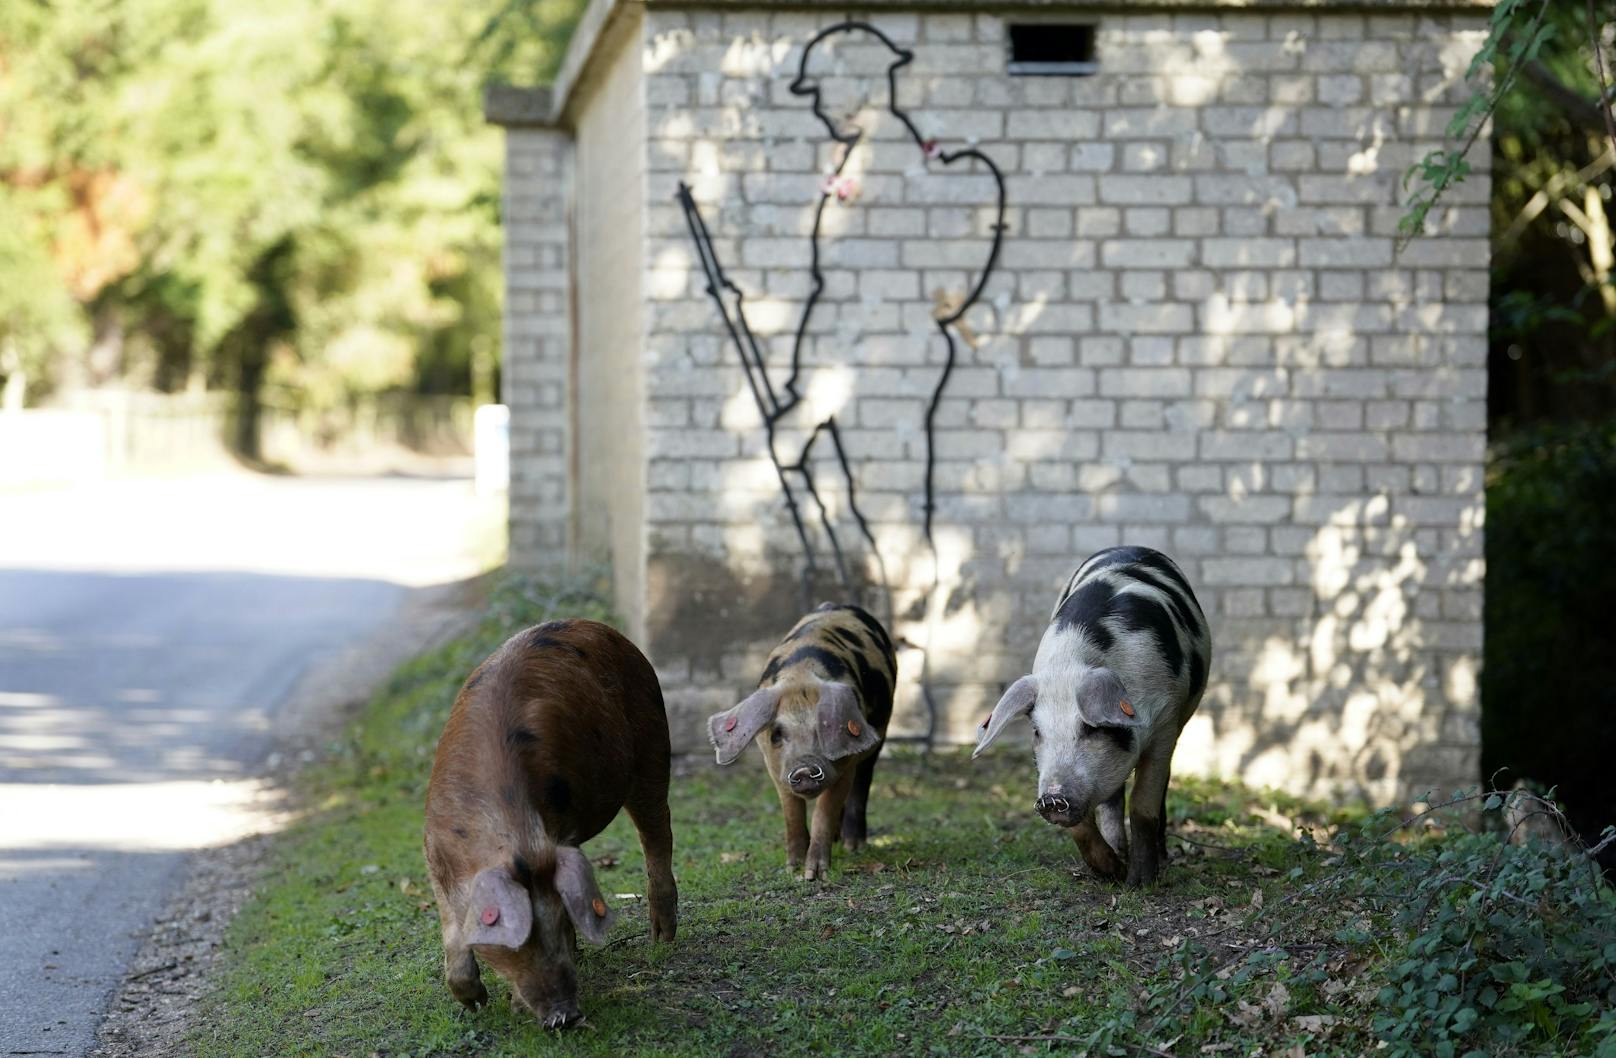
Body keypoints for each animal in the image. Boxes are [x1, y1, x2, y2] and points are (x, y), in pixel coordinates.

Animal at [423, 620, 675, 1027]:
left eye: (559, 920)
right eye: (515, 935)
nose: (566, 1016)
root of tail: (596, 626)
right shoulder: (433, 850)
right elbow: (451, 925)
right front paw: (474, 1004)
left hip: (653, 737)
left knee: (657, 834)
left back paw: (661, 938)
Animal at [704, 604, 898, 885]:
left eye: (823, 728)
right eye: (777, 734)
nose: (804, 769)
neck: (800, 676)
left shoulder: (846, 766)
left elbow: (824, 812)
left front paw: (814, 875)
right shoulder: (774, 767)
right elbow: (792, 813)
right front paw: (792, 868)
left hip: (880, 733)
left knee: (862, 783)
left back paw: (854, 846)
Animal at [969, 545, 1215, 885]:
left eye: (1091, 728)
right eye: (1037, 732)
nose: (1051, 799)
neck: (1070, 667)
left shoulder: (1167, 719)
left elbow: (1143, 804)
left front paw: (1139, 882)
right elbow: (1084, 822)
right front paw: (1112, 872)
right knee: (1112, 800)